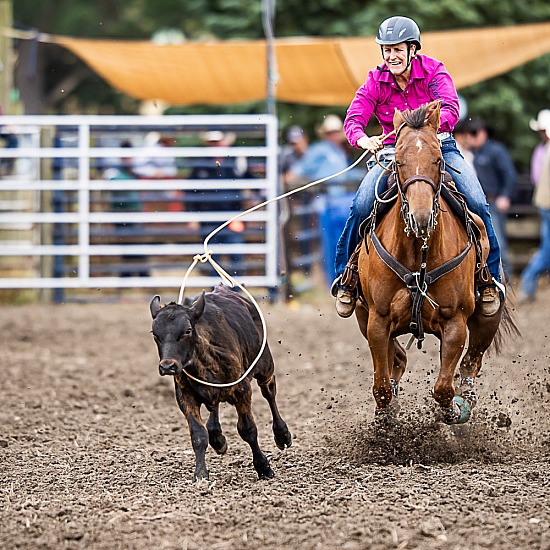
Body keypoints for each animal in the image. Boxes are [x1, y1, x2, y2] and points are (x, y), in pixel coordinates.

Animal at [358, 101, 516, 424]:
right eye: (398, 162)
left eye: (438, 160)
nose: (420, 217)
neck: (417, 254)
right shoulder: (377, 320)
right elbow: (381, 385)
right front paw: (385, 417)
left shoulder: (454, 322)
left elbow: (444, 387)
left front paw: (452, 410)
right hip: (361, 313)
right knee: (397, 358)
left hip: (488, 317)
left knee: (471, 362)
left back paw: (466, 397)